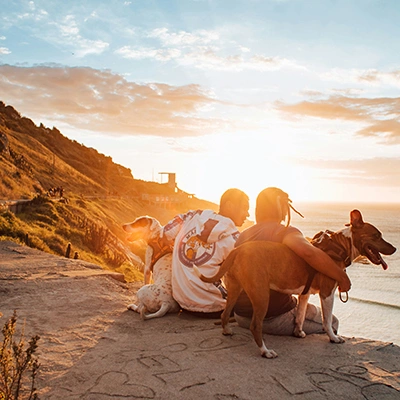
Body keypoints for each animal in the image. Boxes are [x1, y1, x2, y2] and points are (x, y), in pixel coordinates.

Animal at [194, 211, 396, 358]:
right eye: (376, 235)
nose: (394, 248)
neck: (340, 246)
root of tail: (238, 250)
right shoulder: (327, 293)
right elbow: (327, 320)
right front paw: (333, 338)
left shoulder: (304, 294)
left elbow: (300, 314)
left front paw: (298, 332)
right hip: (261, 295)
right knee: (255, 326)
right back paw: (265, 351)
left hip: (235, 289)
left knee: (225, 313)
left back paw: (227, 331)